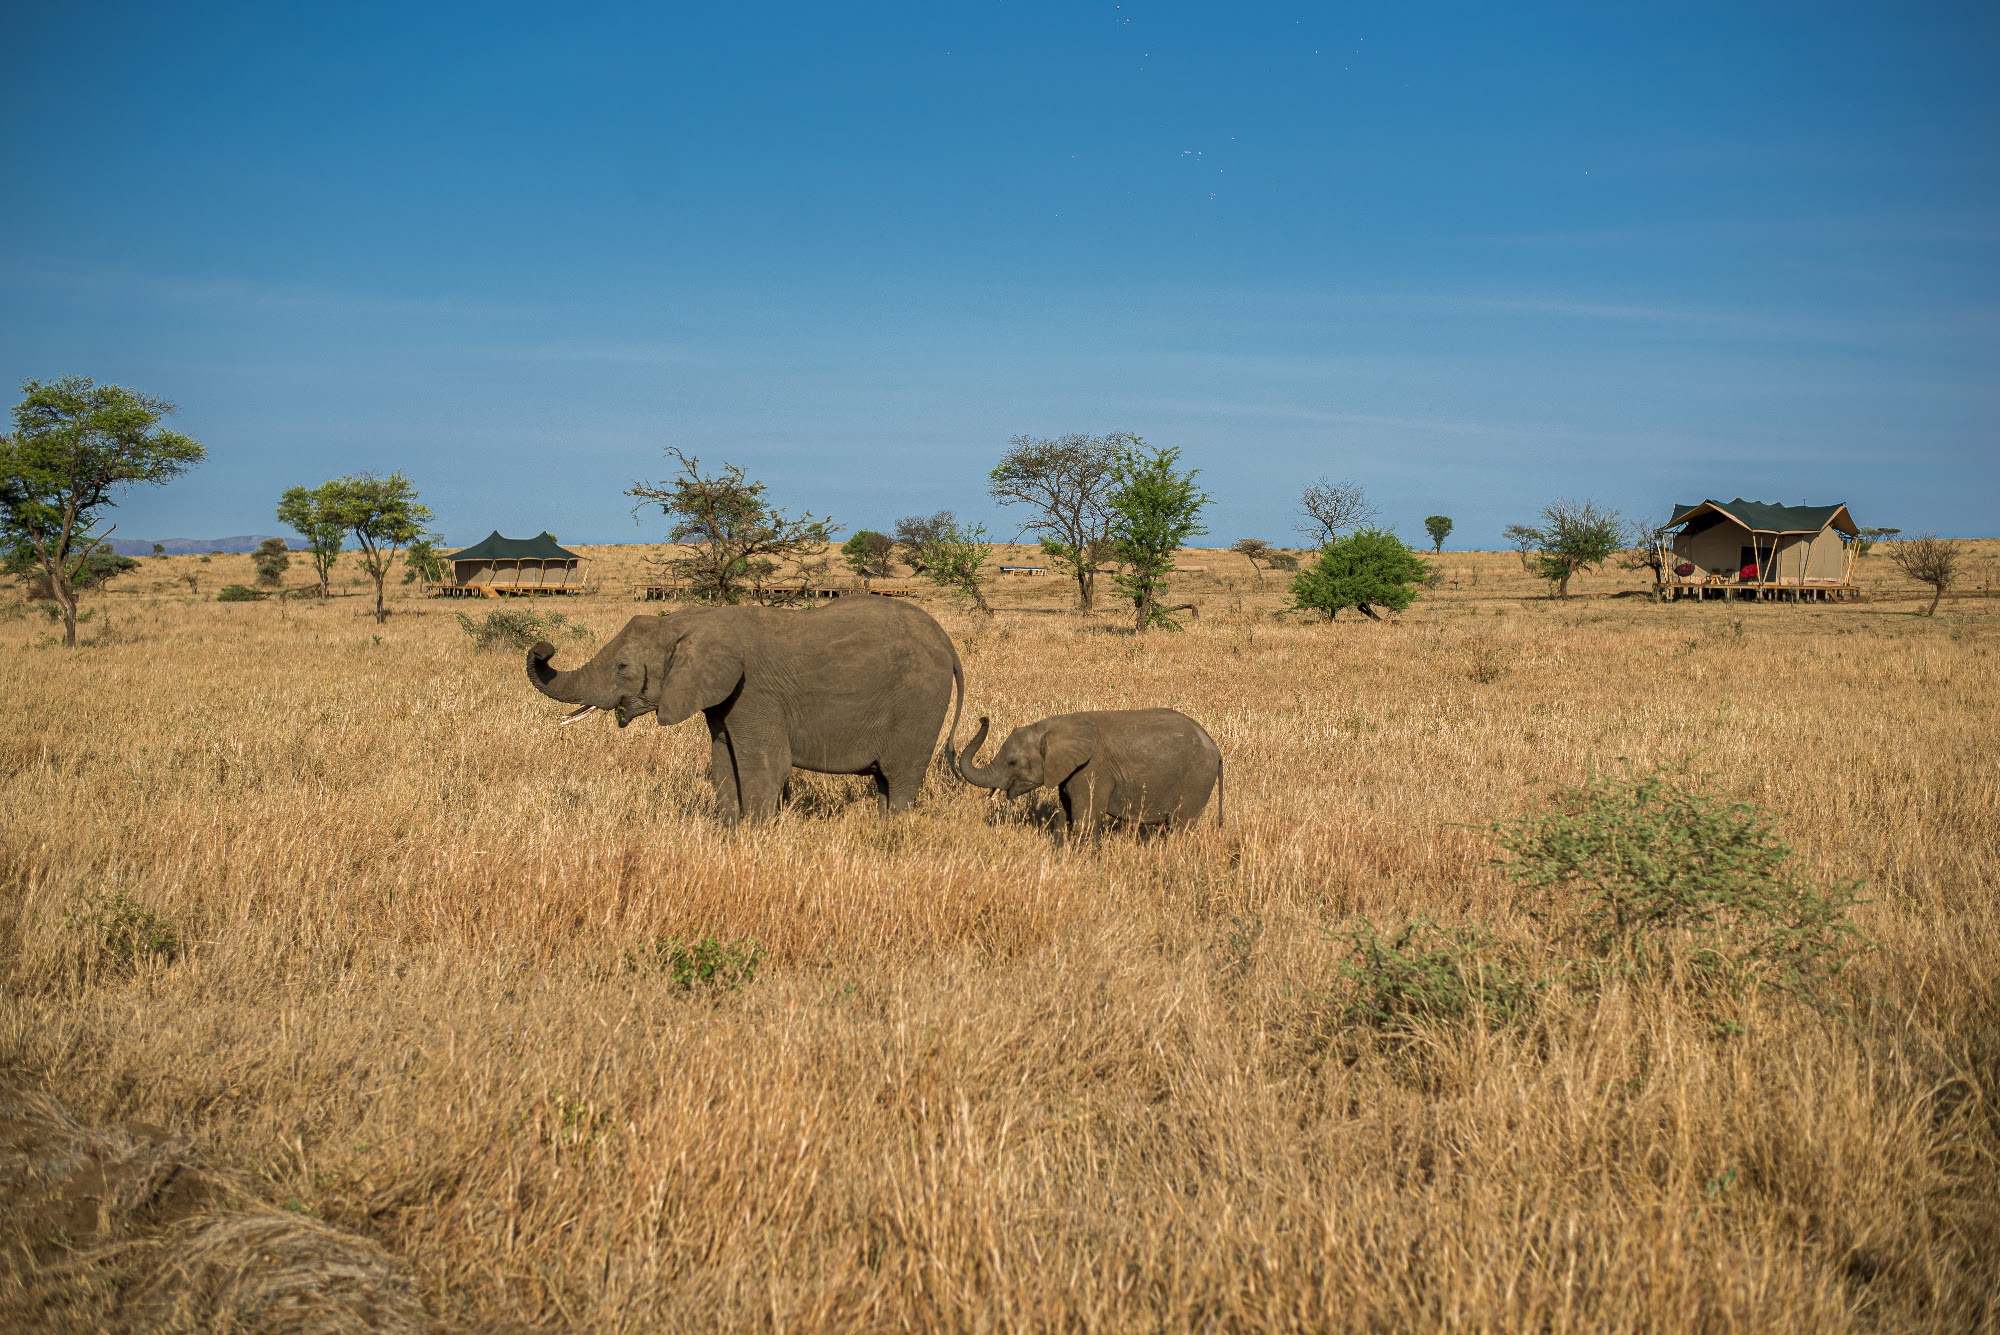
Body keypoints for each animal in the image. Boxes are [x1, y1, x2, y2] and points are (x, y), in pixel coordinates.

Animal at [527, 597, 964, 823]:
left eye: (622, 667)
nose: (544, 648)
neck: (691, 621)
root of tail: (947, 643)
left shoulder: (754, 692)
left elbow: (765, 766)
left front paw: (755, 837)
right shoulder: (722, 699)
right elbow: (724, 763)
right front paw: (730, 833)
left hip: (919, 700)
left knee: (900, 777)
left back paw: (892, 835)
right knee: (887, 783)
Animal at [954, 708, 1223, 833]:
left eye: (1012, 762)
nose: (983, 718)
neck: (1050, 727)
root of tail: (1216, 750)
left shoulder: (1091, 770)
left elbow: (1085, 819)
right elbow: (1066, 816)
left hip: (1196, 780)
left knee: (1180, 827)